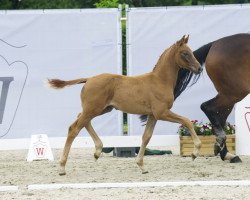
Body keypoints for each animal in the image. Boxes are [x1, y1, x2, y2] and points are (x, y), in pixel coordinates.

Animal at [47, 36, 202, 175]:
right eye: (185, 53)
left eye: (191, 51)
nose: (199, 68)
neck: (160, 81)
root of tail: (89, 79)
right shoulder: (161, 112)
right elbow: (187, 121)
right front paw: (195, 152)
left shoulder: (152, 115)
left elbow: (146, 137)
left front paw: (141, 166)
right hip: (93, 109)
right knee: (74, 128)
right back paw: (62, 167)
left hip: (101, 109)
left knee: (82, 120)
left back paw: (97, 151)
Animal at [175, 33, 249, 163]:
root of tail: (214, 44)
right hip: (234, 92)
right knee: (207, 107)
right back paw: (221, 145)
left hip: (228, 94)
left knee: (219, 117)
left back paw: (226, 153)